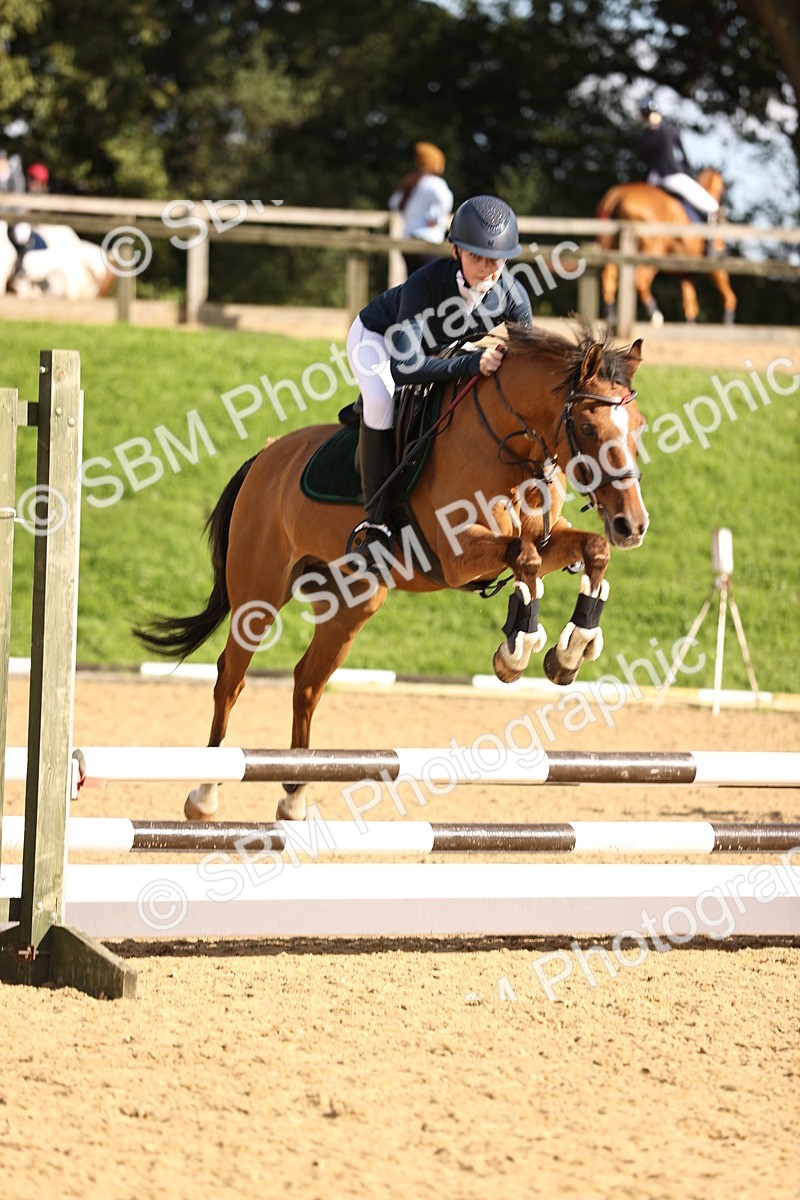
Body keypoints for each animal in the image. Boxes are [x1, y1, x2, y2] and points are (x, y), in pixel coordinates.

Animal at [136, 321, 649, 821]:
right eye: (587, 426)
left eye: (638, 426)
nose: (634, 525)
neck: (508, 446)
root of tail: (265, 457)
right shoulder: (459, 556)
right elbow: (525, 559)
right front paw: (516, 652)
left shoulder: (549, 535)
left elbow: (590, 550)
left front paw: (570, 652)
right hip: (258, 594)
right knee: (231, 677)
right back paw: (206, 793)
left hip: (352, 603)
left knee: (307, 682)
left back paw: (295, 796)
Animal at [596, 168, 736, 326]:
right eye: (724, 190)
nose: (723, 215)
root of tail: (618, 194)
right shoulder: (716, 267)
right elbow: (729, 296)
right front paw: (728, 322)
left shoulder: (685, 273)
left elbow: (690, 304)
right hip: (652, 252)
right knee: (639, 279)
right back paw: (655, 315)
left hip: (611, 247)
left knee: (608, 276)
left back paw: (610, 316)